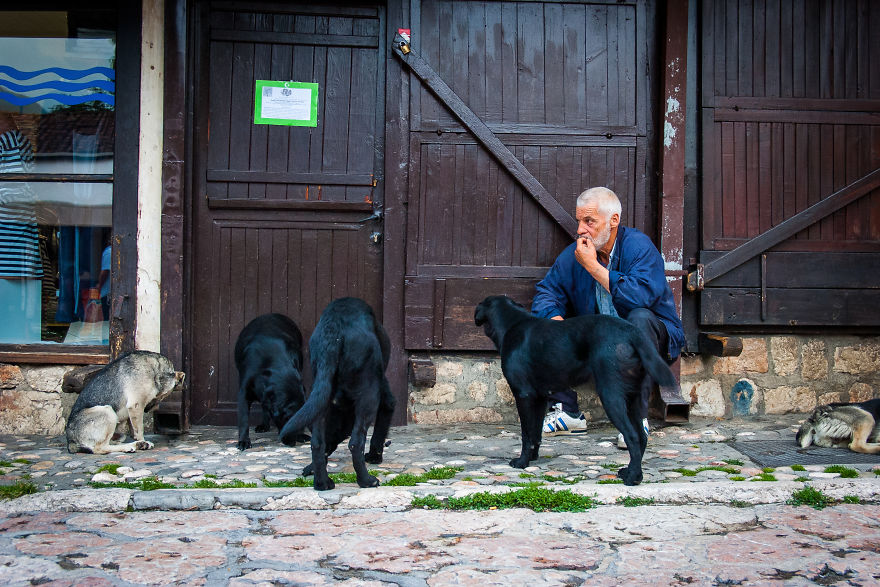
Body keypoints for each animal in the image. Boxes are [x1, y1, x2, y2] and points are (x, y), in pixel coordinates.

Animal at [234, 314, 310, 452]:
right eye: (288, 419)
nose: (293, 443)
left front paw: (301, 435)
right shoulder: (244, 391)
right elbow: (243, 419)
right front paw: (243, 441)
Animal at [282, 298, 396, 492]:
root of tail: (334, 330)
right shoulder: (384, 397)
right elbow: (379, 431)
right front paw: (374, 457)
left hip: (320, 395)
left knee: (317, 443)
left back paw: (322, 483)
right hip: (369, 396)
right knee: (355, 443)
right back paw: (367, 481)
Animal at [474, 296, 680, 484]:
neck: (512, 322)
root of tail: (633, 332)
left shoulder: (523, 395)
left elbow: (526, 434)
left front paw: (522, 462)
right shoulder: (540, 398)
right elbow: (536, 434)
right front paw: (533, 457)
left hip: (611, 396)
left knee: (633, 436)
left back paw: (633, 477)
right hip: (633, 398)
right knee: (642, 437)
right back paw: (629, 471)